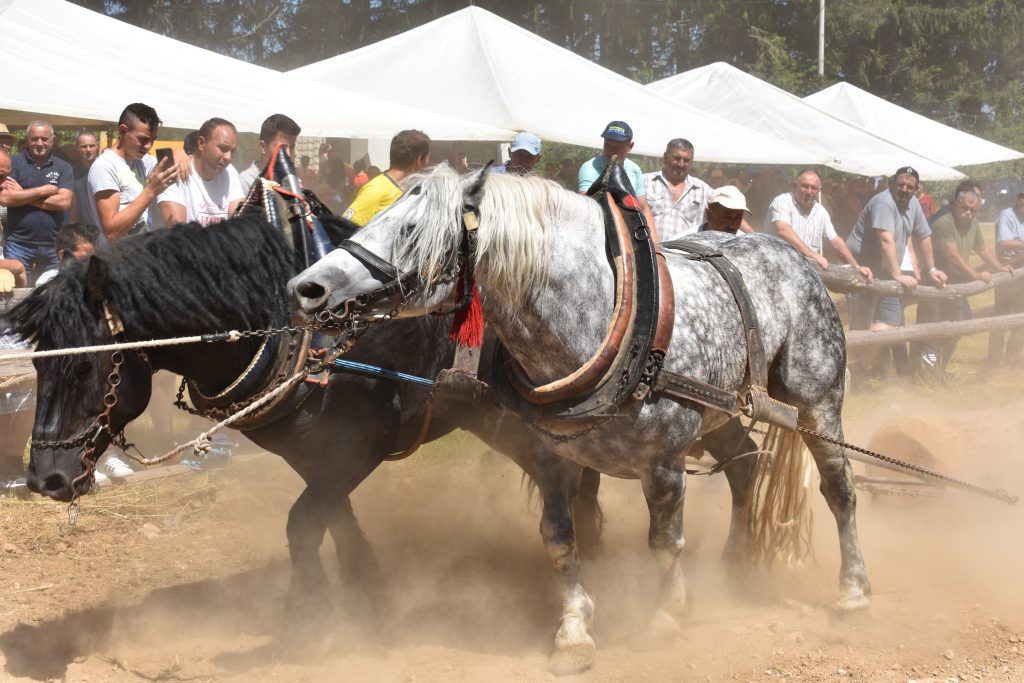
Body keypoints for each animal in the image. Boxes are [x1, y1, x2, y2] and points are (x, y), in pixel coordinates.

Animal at [6, 214, 598, 647]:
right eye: (37, 364)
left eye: (87, 366)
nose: (46, 479)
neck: (290, 328)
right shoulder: (315, 455)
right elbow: (335, 523)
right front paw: (369, 599)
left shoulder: (360, 448)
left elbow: (302, 523)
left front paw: (307, 618)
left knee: (560, 485)